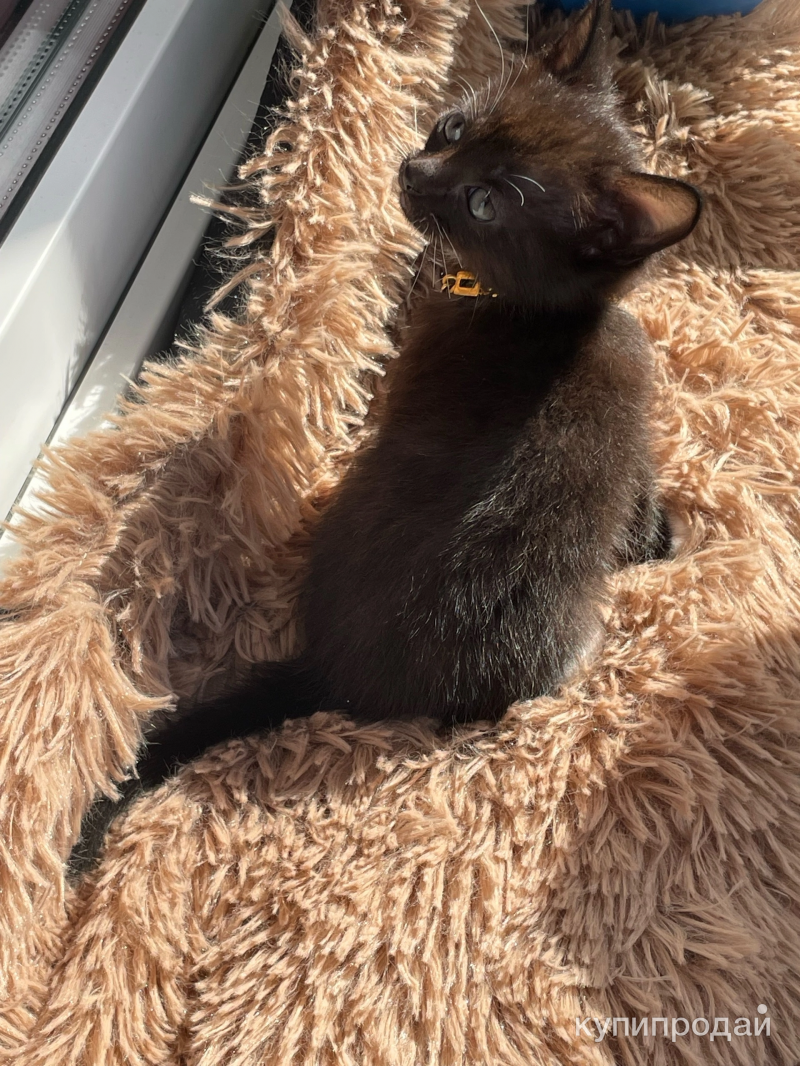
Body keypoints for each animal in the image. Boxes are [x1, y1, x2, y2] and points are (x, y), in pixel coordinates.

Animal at [69, 0, 701, 875]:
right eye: (455, 126)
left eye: (485, 203)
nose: (411, 171)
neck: (538, 315)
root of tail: (333, 672)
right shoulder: (634, 436)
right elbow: (640, 508)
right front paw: (667, 541)